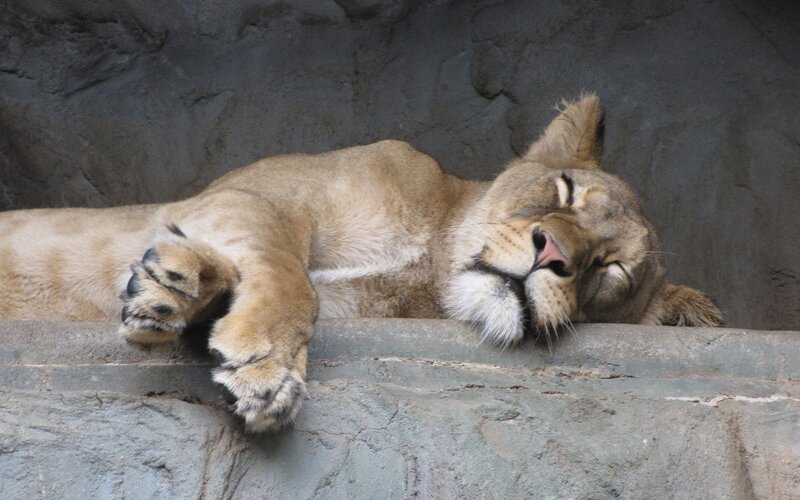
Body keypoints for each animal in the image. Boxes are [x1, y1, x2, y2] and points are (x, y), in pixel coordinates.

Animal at [0, 94, 722, 431]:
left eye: (611, 270)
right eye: (566, 192)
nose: (553, 254)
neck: (430, 264)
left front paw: (175, 293)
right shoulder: (247, 193)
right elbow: (287, 272)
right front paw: (262, 360)